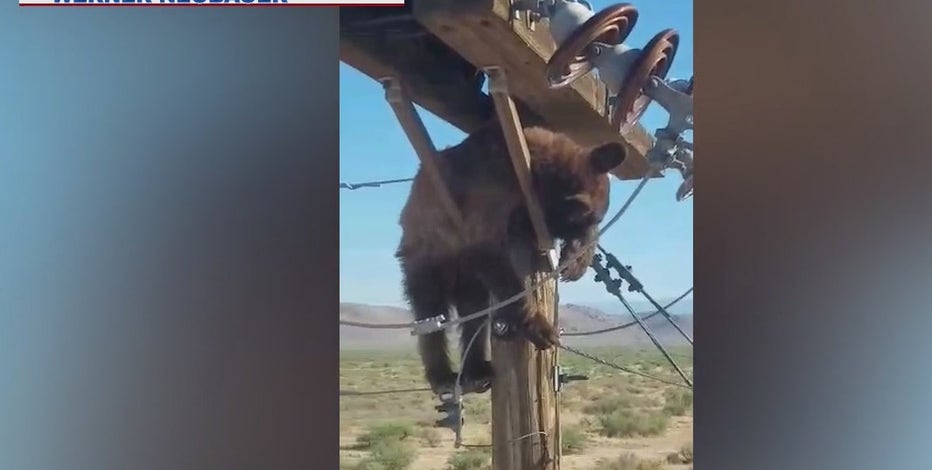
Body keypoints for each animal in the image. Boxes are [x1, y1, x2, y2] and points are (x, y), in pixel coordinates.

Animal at [394, 121, 628, 392]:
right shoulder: (492, 185)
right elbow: (489, 248)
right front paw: (538, 325)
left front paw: (575, 261)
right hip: (428, 255)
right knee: (430, 314)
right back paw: (441, 375)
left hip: (468, 279)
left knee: (475, 315)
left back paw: (477, 369)